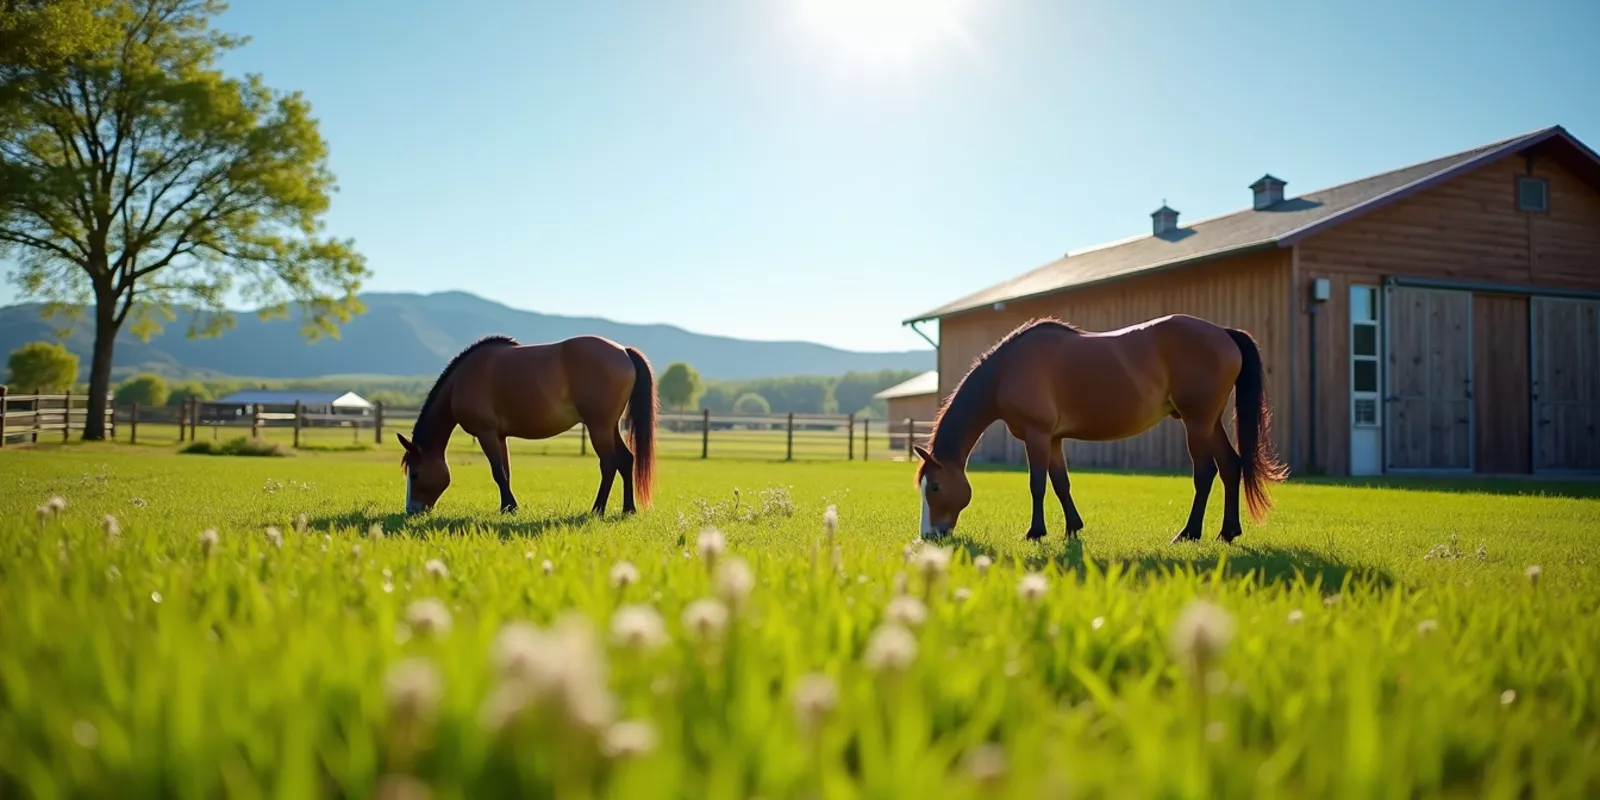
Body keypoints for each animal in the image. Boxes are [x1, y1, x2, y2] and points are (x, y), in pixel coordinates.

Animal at [396, 334, 658, 517]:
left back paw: (597, 509)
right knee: (626, 459)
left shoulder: (485, 433)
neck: (463, 379)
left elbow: (497, 472)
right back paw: (628, 509)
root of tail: (624, 351)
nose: (412, 509)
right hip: (609, 426)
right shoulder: (499, 436)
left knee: (609, 464)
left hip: (598, 427)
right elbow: (505, 471)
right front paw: (508, 507)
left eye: (416, 474)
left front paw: (510, 506)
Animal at [913, 314, 1288, 544]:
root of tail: (1224, 333)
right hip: (1209, 422)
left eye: (935, 487)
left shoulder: (1037, 435)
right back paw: (1227, 533)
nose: (929, 535)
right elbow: (1060, 484)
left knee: (1206, 473)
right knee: (1231, 467)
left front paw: (1035, 532)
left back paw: (1189, 533)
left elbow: (1037, 485)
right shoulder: (1053, 439)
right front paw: (1072, 529)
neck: (1008, 369)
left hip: (1197, 422)